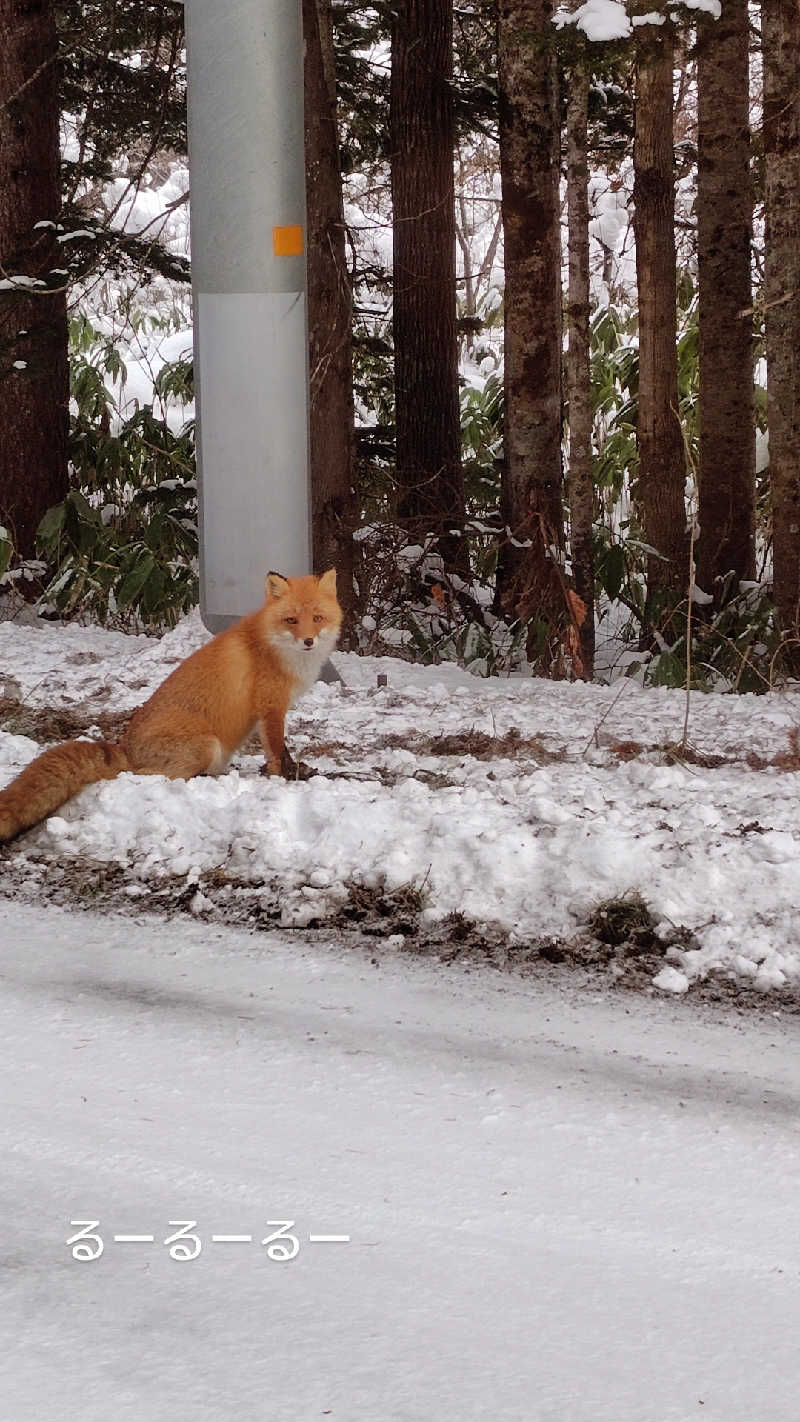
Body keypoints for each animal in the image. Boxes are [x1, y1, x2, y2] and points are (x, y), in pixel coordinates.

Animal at [0, 568, 341, 841]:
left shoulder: (270, 711)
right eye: (291, 620)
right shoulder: (270, 708)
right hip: (206, 746)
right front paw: (283, 779)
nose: (308, 641)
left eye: (317, 618)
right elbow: (276, 752)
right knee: (145, 777)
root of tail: (126, 749)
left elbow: (282, 751)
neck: (276, 649)